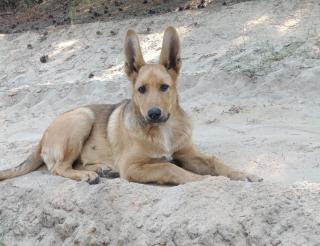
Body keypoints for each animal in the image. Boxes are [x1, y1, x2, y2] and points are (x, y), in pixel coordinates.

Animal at [0, 26, 262, 184]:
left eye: (164, 87)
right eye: (141, 89)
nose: (154, 113)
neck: (163, 130)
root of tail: (43, 137)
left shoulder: (188, 153)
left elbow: (215, 161)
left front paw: (243, 174)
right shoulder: (133, 166)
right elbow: (171, 168)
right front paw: (204, 180)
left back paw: (101, 169)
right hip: (82, 117)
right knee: (58, 167)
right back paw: (87, 174)